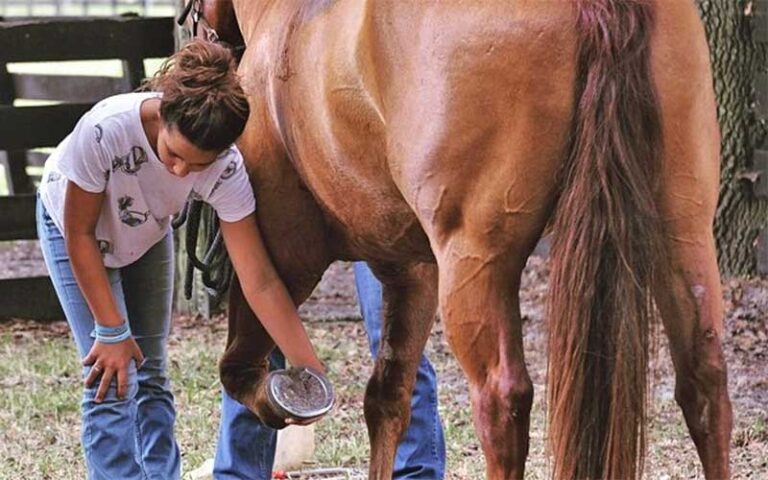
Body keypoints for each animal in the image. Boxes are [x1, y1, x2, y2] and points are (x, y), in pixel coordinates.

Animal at [186, 0, 732, 478]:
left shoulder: (284, 252)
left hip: (475, 259)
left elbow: (241, 370)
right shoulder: (412, 271)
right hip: (681, 235)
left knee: (502, 400)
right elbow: (387, 399)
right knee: (704, 383)